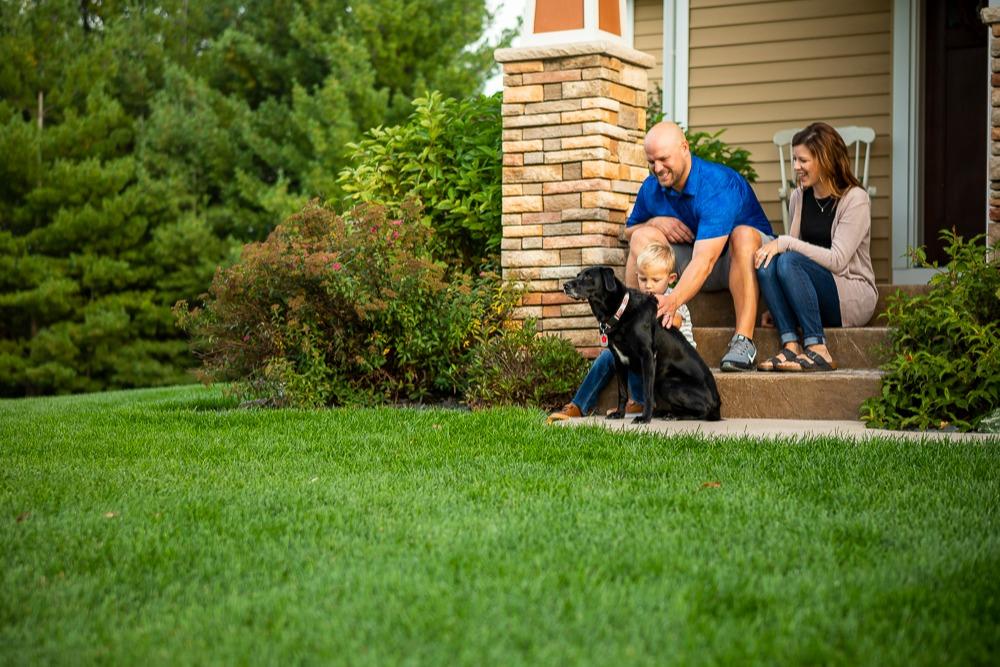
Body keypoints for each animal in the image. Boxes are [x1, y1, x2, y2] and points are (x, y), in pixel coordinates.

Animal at [564, 266, 720, 422]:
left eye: (588, 276)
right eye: (578, 275)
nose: (565, 285)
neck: (620, 312)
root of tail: (717, 403)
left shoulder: (648, 356)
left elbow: (647, 393)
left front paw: (645, 418)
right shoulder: (619, 360)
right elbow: (622, 392)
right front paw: (619, 413)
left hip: (667, 383)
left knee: (703, 411)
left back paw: (674, 416)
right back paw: (664, 413)